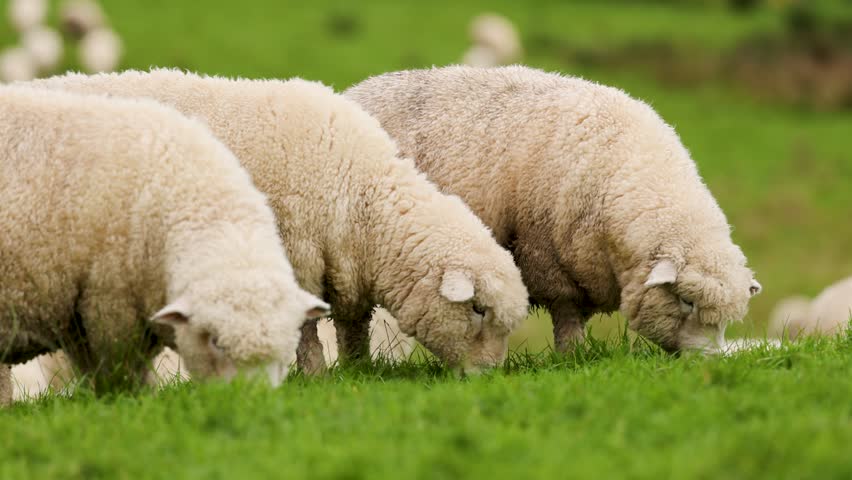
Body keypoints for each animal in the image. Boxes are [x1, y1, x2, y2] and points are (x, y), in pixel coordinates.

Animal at [28, 69, 530, 373]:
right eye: (478, 309)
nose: (488, 375)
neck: (361, 194)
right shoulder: (297, 255)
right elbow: (306, 328)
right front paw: (314, 374)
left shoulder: (344, 265)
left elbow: (351, 326)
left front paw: (359, 369)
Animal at [346, 65, 762, 354]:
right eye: (687, 301)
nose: (708, 362)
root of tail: (354, 89)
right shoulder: (544, 256)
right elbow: (567, 316)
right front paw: (571, 355)